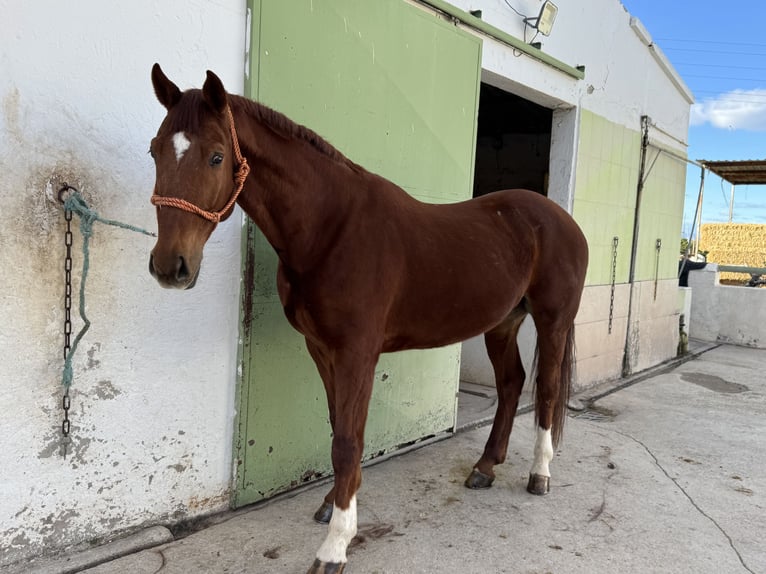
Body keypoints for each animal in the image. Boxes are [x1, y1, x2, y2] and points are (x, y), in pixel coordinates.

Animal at [148, 65, 588, 572]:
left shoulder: (357, 353)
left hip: (553, 320)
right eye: (155, 150)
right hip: (503, 322)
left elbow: (348, 442)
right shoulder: (321, 349)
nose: (170, 266)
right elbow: (337, 425)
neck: (329, 230)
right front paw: (330, 505)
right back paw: (484, 467)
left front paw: (335, 546)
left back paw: (539, 474)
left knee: (547, 390)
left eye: (217, 157)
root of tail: (562, 218)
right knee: (511, 383)